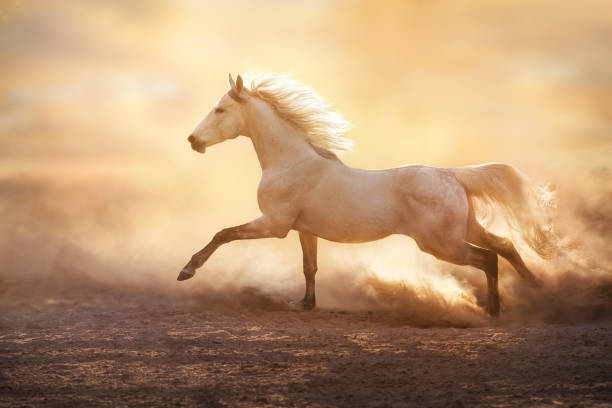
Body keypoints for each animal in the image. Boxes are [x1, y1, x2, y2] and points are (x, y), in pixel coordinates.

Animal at [179, 73, 556, 316]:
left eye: (221, 110)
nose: (192, 140)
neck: (291, 162)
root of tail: (452, 176)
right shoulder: (304, 230)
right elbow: (309, 266)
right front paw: (305, 304)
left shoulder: (274, 224)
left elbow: (223, 234)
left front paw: (187, 271)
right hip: (465, 230)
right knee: (506, 246)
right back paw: (536, 287)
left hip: (442, 243)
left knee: (488, 258)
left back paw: (494, 309)